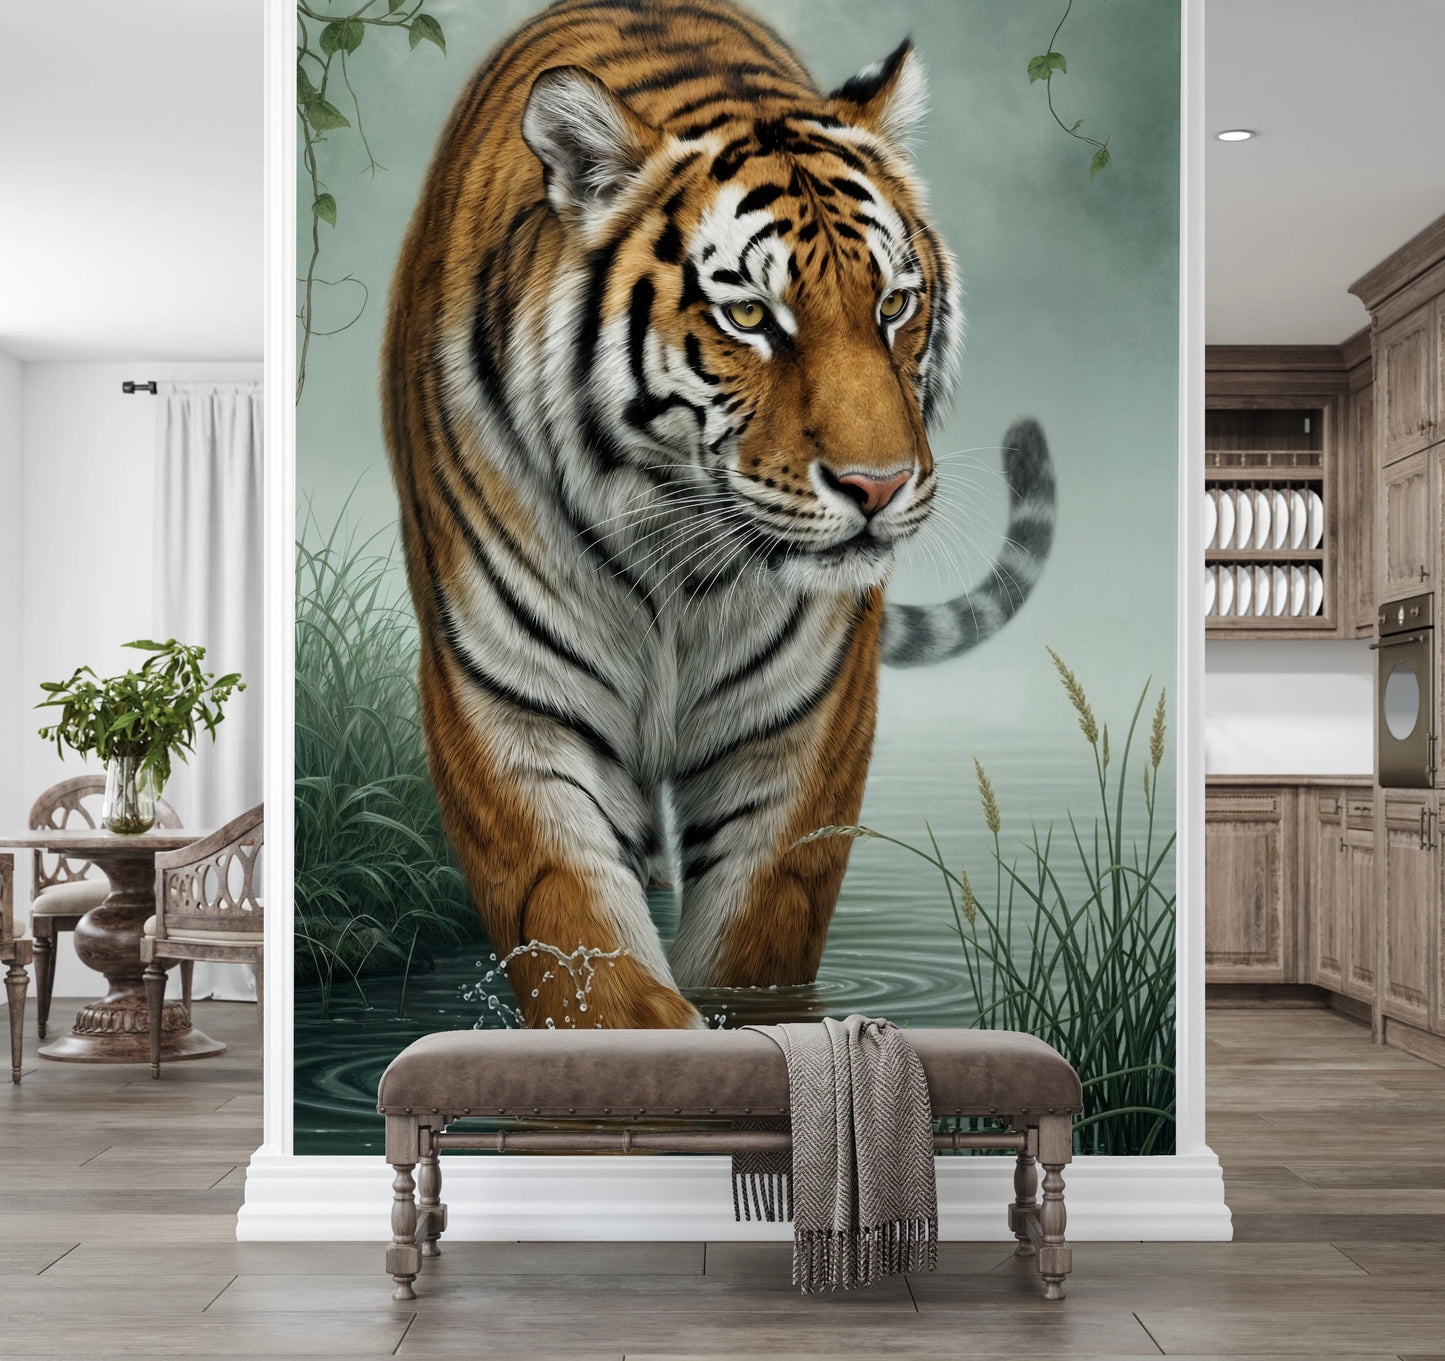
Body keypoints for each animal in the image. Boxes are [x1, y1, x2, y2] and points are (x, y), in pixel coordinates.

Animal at [382, 0, 1056, 1029]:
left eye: (894, 304)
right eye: (748, 317)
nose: (878, 487)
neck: (674, 545)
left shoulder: (798, 726)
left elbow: (757, 941)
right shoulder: (507, 704)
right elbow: (581, 940)